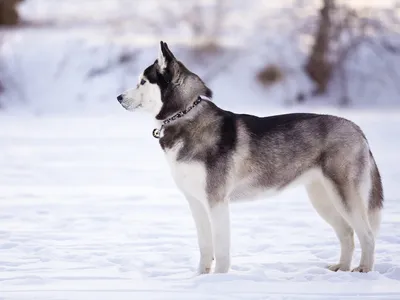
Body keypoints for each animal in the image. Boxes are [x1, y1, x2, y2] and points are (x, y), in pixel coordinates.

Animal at [116, 41, 384, 276]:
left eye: (142, 81)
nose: (119, 97)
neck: (184, 116)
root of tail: (357, 128)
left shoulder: (216, 201)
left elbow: (221, 248)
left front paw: (219, 280)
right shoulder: (196, 202)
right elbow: (205, 246)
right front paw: (200, 278)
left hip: (344, 195)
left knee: (367, 235)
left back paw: (364, 270)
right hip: (322, 198)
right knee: (347, 233)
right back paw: (342, 267)